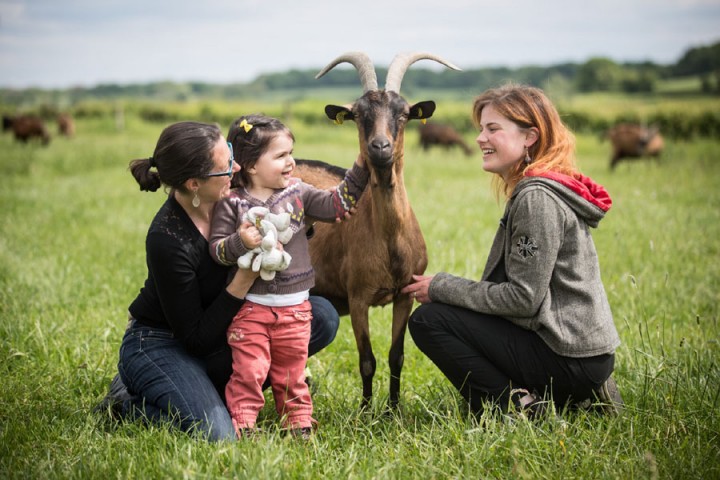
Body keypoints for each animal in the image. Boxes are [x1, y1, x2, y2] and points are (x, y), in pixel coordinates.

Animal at [292, 50, 462, 406]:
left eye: (405, 113)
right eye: (358, 115)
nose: (380, 147)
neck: (389, 242)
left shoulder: (405, 295)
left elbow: (396, 356)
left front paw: (393, 409)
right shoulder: (358, 297)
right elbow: (366, 360)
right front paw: (366, 410)